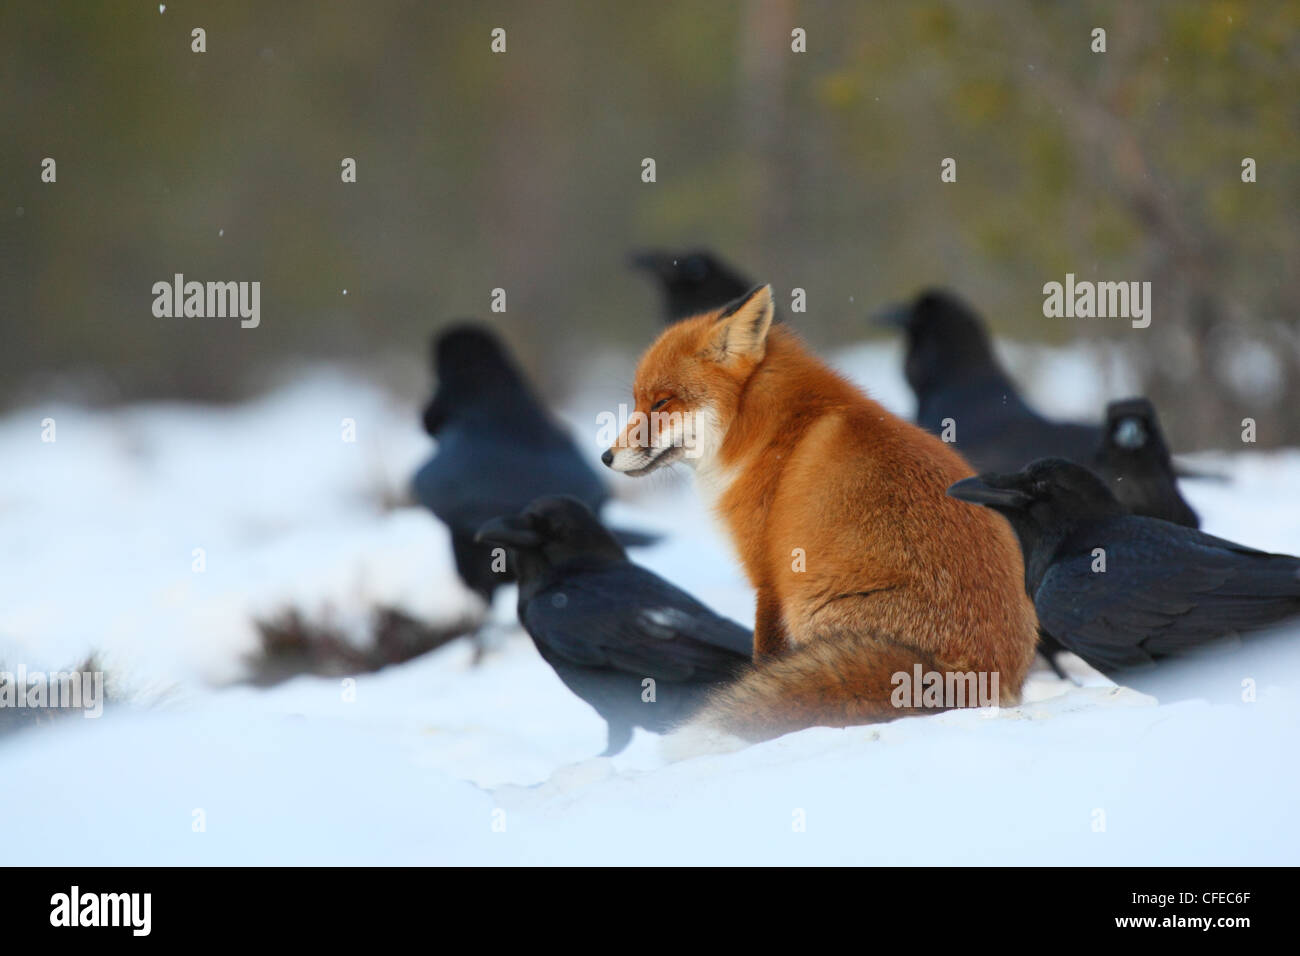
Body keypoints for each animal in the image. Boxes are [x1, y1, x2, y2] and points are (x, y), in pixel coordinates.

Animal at [603, 283, 1040, 738]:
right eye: (637, 401)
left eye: (662, 402)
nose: (605, 457)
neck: (767, 433)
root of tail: (968, 677)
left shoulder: (770, 578)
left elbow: (763, 658)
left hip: (811, 607)